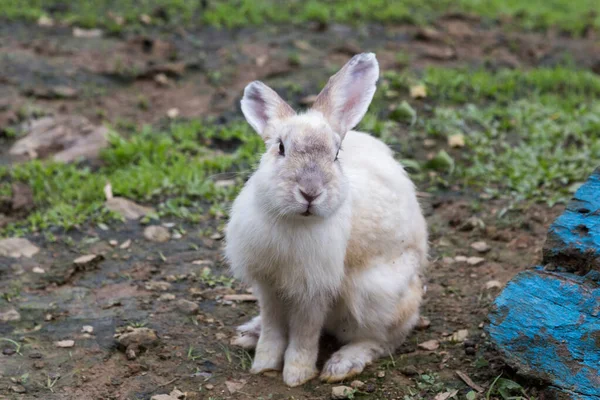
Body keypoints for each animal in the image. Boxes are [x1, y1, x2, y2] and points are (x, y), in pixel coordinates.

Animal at [225, 54, 426, 388]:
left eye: (336, 154)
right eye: (280, 147)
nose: (310, 192)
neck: (293, 221)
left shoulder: (314, 291)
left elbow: (304, 334)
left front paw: (296, 375)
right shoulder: (267, 286)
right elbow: (273, 327)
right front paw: (263, 365)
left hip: (376, 295)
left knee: (383, 340)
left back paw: (342, 365)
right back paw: (248, 333)